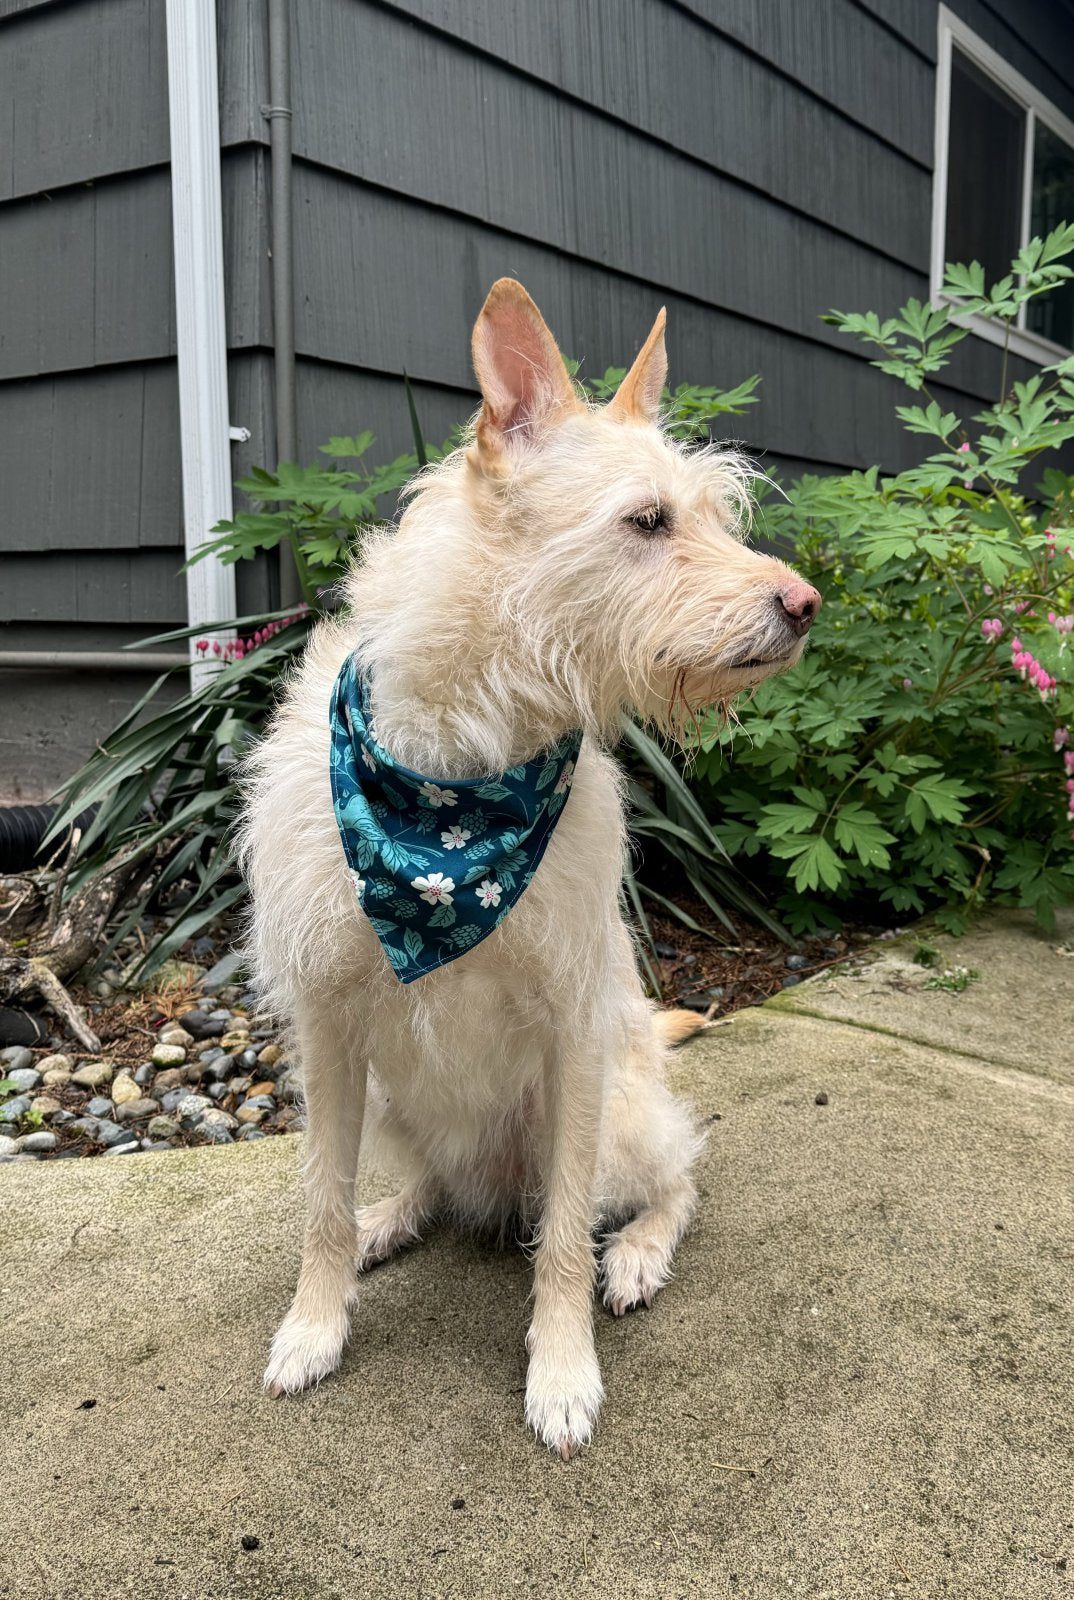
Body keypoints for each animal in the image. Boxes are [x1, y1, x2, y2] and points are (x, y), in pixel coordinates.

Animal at [240, 281, 819, 1459]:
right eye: (647, 521)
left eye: (715, 516)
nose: (806, 605)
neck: (456, 792)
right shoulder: (328, 1026)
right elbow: (319, 1197)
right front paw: (315, 1325)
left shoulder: (572, 1024)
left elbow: (558, 1236)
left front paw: (561, 1372)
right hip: (393, 1095)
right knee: (425, 1180)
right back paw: (391, 1219)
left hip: (621, 1109)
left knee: (667, 1178)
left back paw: (634, 1253)